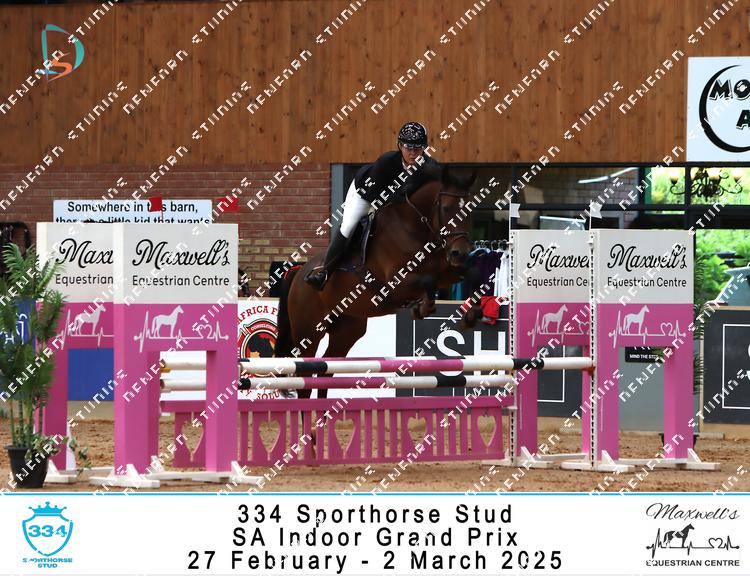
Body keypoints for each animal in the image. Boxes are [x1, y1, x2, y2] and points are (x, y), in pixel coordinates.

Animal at [274, 165, 477, 400]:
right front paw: (422, 307)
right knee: (305, 375)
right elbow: (427, 281)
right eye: (445, 208)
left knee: (326, 369)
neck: (415, 228)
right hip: (308, 332)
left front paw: (473, 313)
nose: (460, 253)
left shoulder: (447, 271)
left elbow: (468, 273)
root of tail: (298, 272)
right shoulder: (397, 284)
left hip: (346, 332)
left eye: (471, 211)